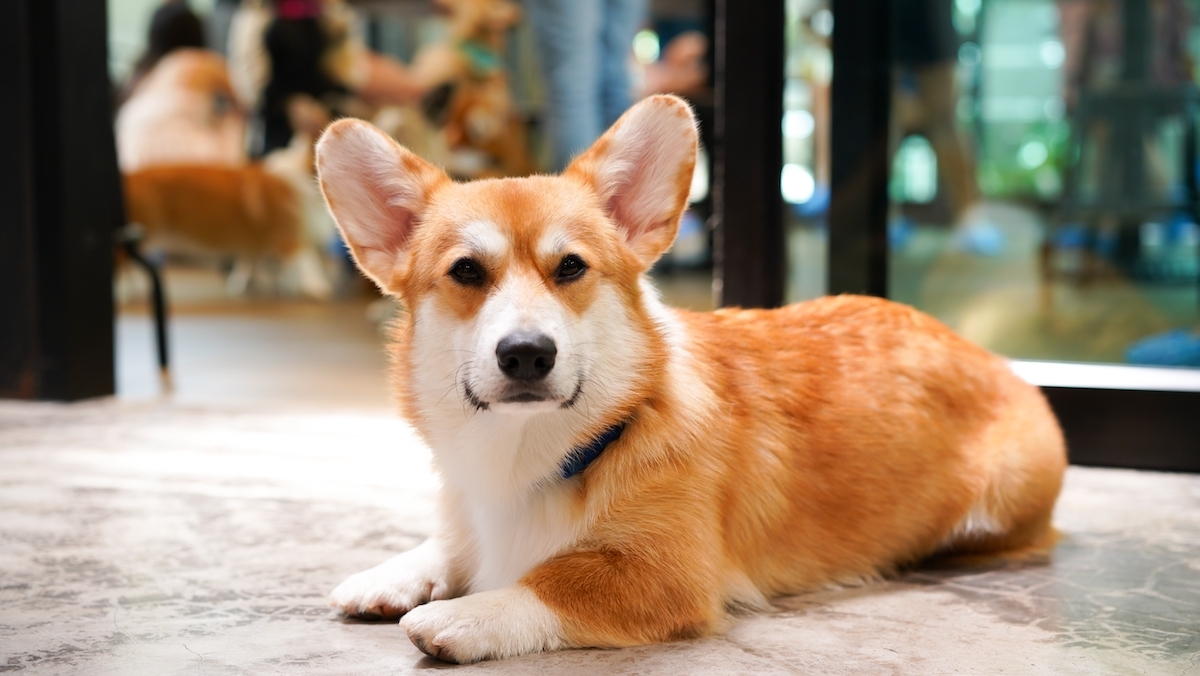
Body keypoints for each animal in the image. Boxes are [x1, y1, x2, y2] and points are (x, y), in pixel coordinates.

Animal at [314, 92, 1065, 662]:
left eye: (571, 267)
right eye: (466, 271)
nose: (527, 353)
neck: (545, 452)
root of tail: (989, 358)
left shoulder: (667, 575)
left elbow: (552, 582)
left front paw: (466, 614)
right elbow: (448, 543)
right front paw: (395, 573)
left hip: (998, 502)